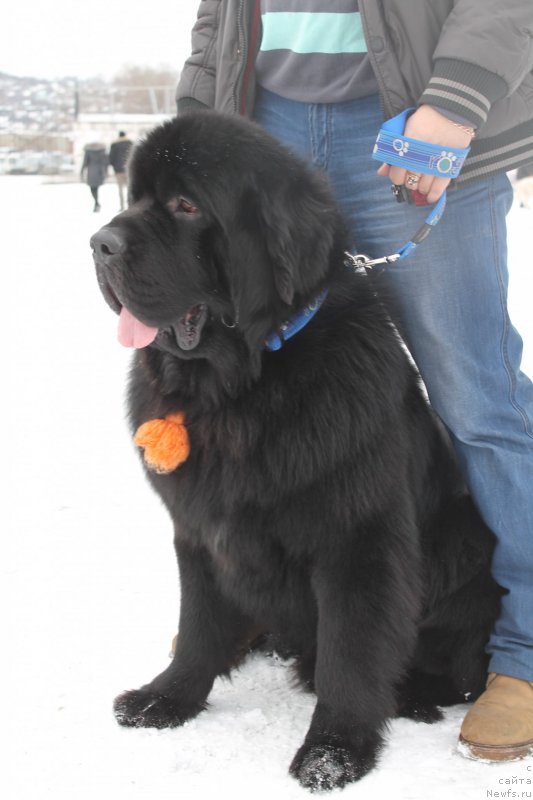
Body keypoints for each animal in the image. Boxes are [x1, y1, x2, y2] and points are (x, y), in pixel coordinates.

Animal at [89, 112, 500, 792]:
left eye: (186, 205)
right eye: (136, 195)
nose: (99, 243)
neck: (239, 387)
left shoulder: (358, 539)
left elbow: (350, 652)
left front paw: (334, 752)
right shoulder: (200, 529)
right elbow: (197, 623)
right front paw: (167, 698)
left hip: (468, 548)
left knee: (459, 665)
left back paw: (415, 693)